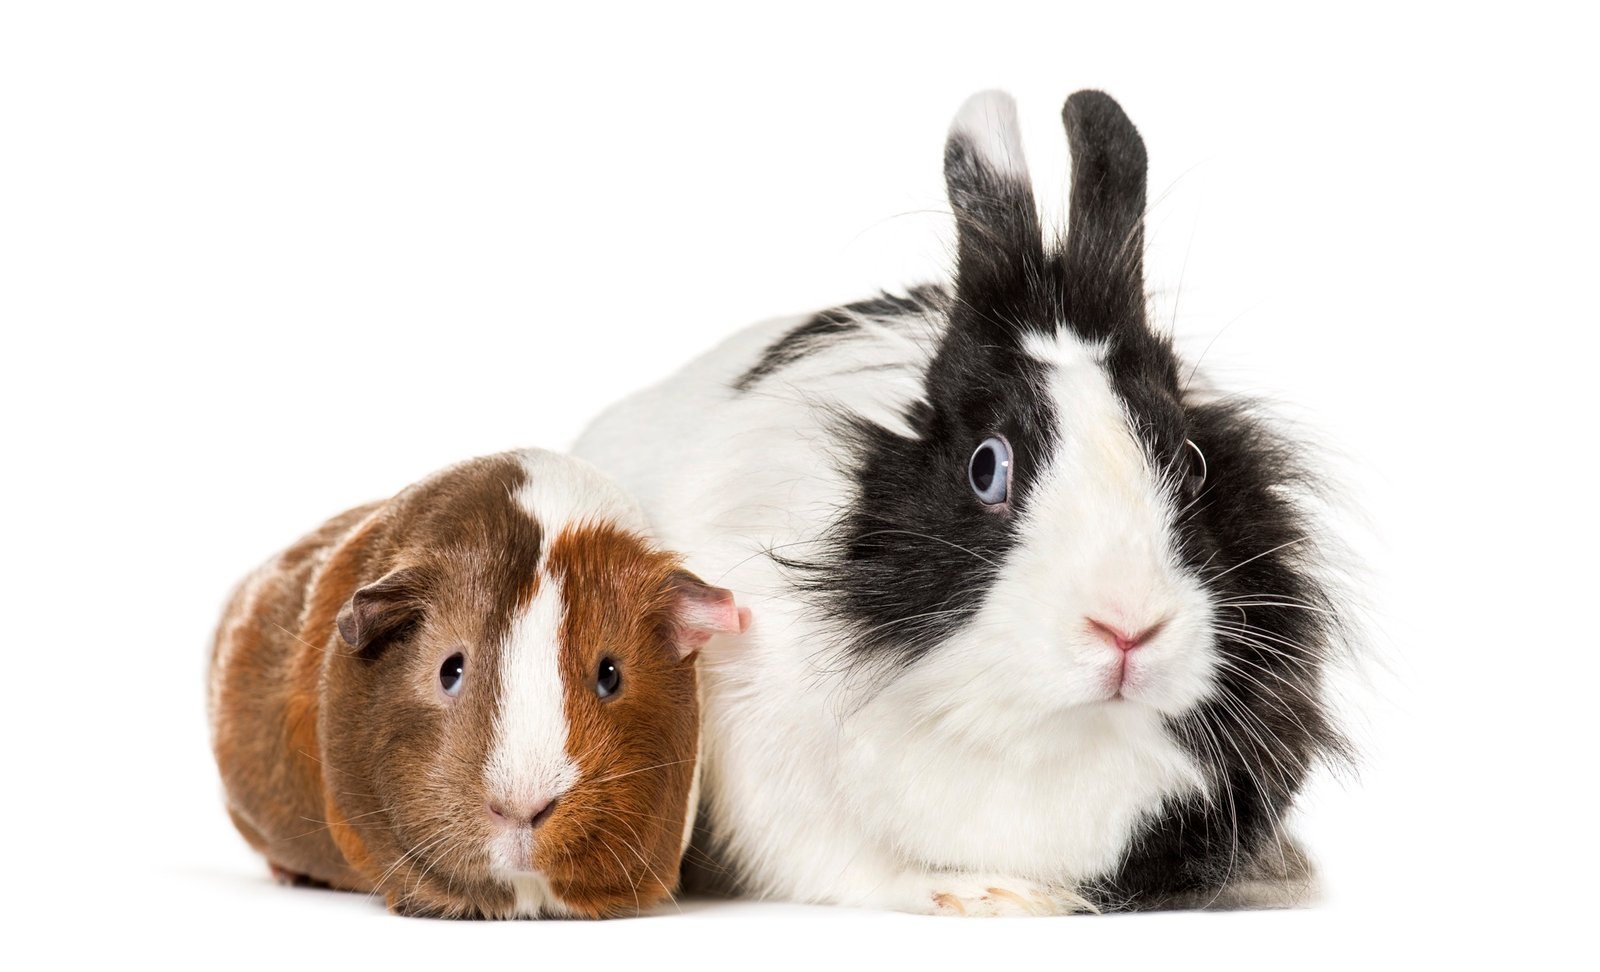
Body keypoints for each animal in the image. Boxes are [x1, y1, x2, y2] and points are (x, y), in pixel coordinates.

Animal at [573, 90, 1349, 915]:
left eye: (1193, 463)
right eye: (986, 467)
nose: (1128, 628)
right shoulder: (769, 764)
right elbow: (843, 865)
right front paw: (991, 895)